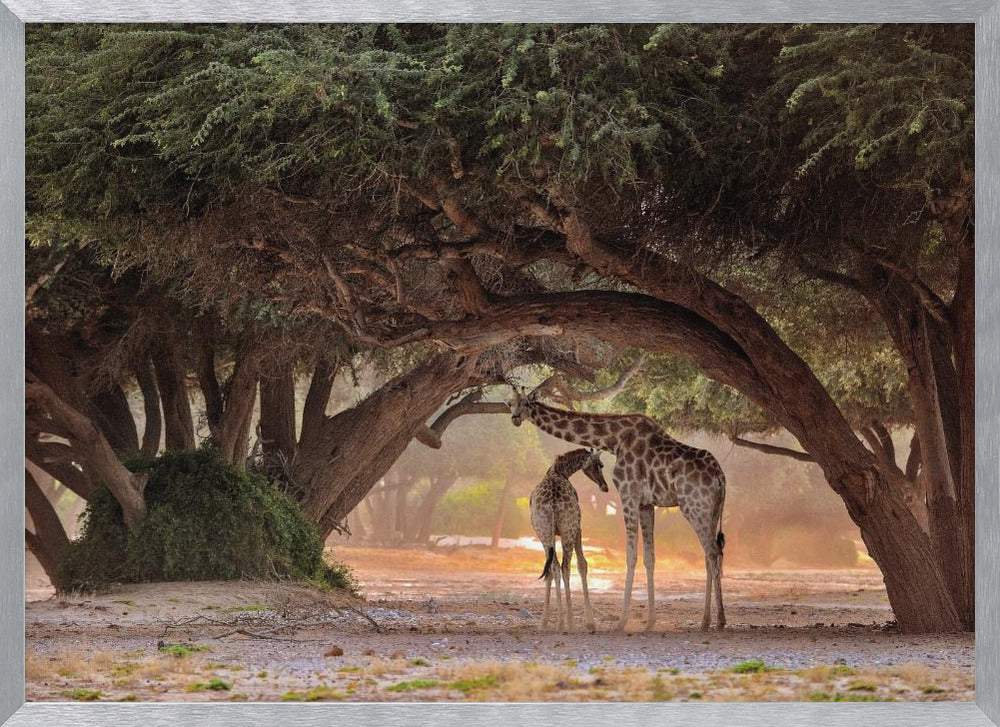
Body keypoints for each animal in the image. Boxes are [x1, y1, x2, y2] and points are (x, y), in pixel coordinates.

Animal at [532, 446, 608, 636]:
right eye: (600, 464)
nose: (604, 486)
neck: (560, 470)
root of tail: (552, 500)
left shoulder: (547, 535)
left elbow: (550, 570)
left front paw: (544, 622)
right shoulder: (578, 528)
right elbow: (583, 564)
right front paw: (590, 623)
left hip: (545, 532)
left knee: (554, 567)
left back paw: (558, 622)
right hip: (568, 530)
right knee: (565, 567)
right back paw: (569, 623)